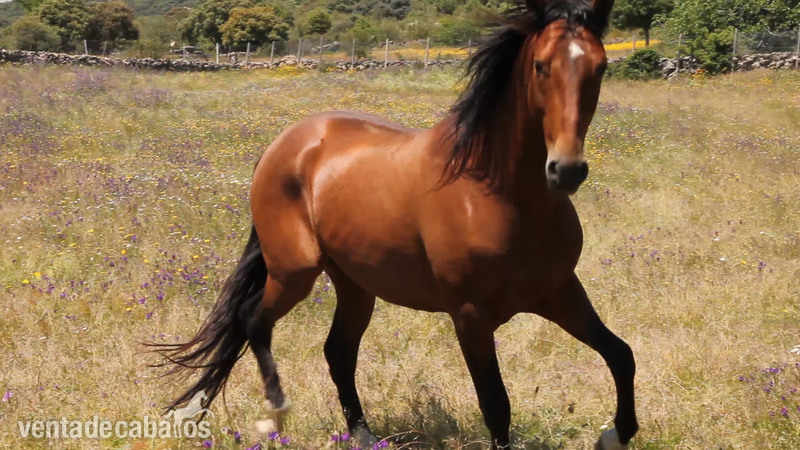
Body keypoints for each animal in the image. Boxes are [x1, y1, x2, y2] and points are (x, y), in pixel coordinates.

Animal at [152, 0, 638, 448]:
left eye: (600, 66)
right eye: (541, 66)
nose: (566, 170)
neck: (494, 191)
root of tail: (283, 145)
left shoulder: (559, 292)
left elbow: (621, 354)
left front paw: (616, 433)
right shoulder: (469, 315)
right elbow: (497, 406)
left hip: (354, 283)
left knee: (337, 351)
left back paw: (363, 434)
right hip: (294, 271)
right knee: (253, 320)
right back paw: (276, 413)